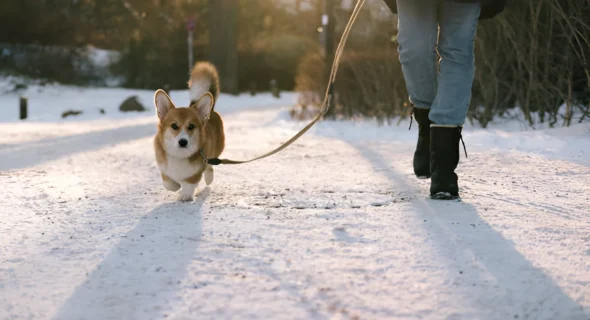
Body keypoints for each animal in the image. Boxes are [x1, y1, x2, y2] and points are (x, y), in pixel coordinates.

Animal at [154, 62, 225, 201]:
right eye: (174, 126)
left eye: (191, 126)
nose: (183, 142)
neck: (179, 155)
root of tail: (211, 110)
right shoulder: (164, 168)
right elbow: (169, 184)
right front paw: (176, 186)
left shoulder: (195, 172)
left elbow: (189, 183)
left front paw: (185, 194)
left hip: (214, 151)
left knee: (210, 165)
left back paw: (209, 178)